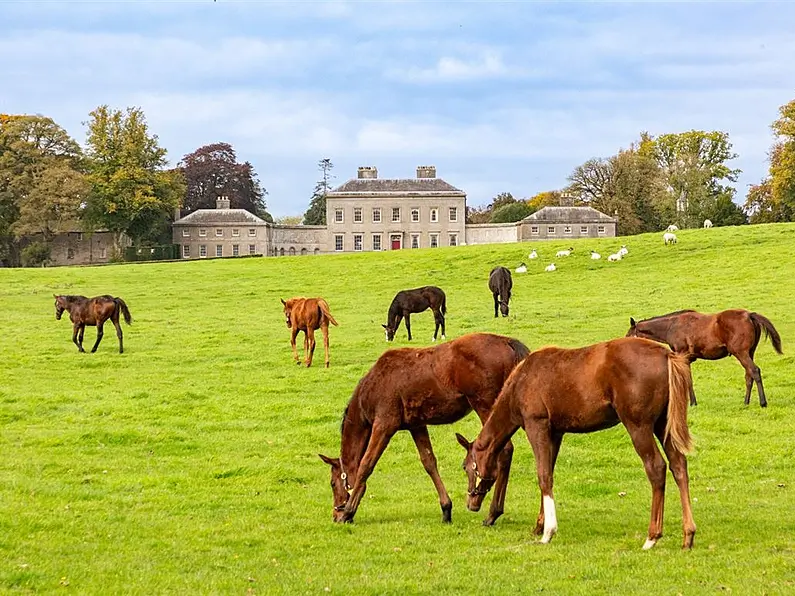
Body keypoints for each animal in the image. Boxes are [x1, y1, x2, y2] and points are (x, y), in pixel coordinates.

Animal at [318, 333, 530, 525]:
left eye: (332, 483)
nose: (335, 514)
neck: (369, 393)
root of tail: (508, 343)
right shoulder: (416, 425)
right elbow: (429, 461)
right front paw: (446, 509)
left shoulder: (384, 424)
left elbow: (366, 464)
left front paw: (349, 511)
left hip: (485, 404)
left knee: (505, 449)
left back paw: (493, 513)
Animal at [457, 337, 696, 550]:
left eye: (466, 467)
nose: (471, 504)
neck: (521, 381)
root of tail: (666, 354)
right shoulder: (555, 433)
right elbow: (549, 474)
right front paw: (539, 525)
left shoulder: (537, 426)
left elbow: (543, 475)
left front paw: (548, 533)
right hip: (663, 425)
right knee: (678, 466)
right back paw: (688, 535)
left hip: (639, 426)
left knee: (656, 468)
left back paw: (652, 537)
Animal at [627, 309, 782, 407]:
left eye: (628, 335)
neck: (671, 326)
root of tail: (749, 315)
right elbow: (688, 379)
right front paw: (693, 402)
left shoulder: (682, 356)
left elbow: (686, 379)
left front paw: (691, 403)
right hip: (750, 352)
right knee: (748, 375)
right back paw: (746, 402)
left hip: (741, 353)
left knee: (754, 371)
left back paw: (763, 402)